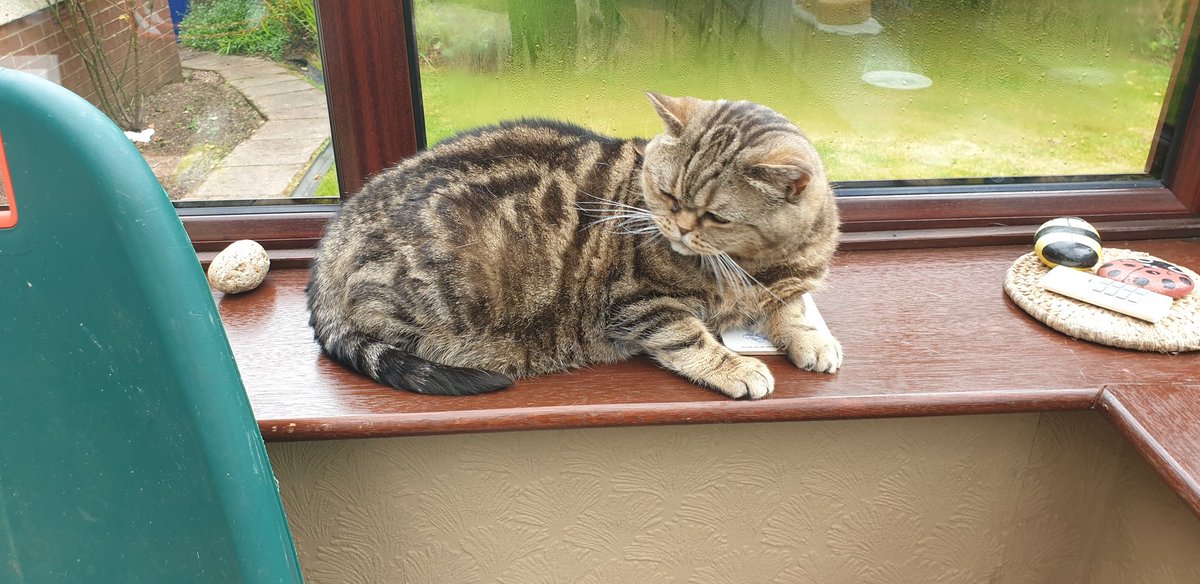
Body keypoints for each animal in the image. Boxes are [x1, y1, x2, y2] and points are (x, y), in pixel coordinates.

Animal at [304, 93, 840, 400]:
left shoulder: (786, 282)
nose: (675, 227)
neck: (757, 265)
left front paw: (812, 336)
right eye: (665, 192)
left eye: (715, 216)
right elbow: (688, 336)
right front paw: (734, 366)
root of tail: (331, 242)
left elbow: (794, 305)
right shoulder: (636, 301)